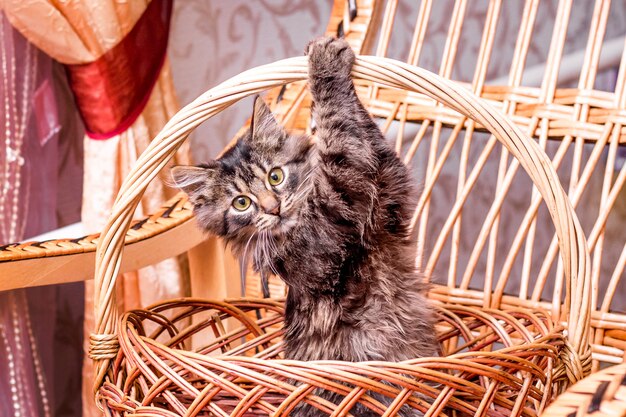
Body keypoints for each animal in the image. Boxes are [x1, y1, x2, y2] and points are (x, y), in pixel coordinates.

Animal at [169, 35, 434, 416]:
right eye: (241, 203)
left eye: (276, 176)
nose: (273, 207)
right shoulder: (342, 199)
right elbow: (336, 128)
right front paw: (323, 63)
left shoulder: (388, 193)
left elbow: (363, 130)